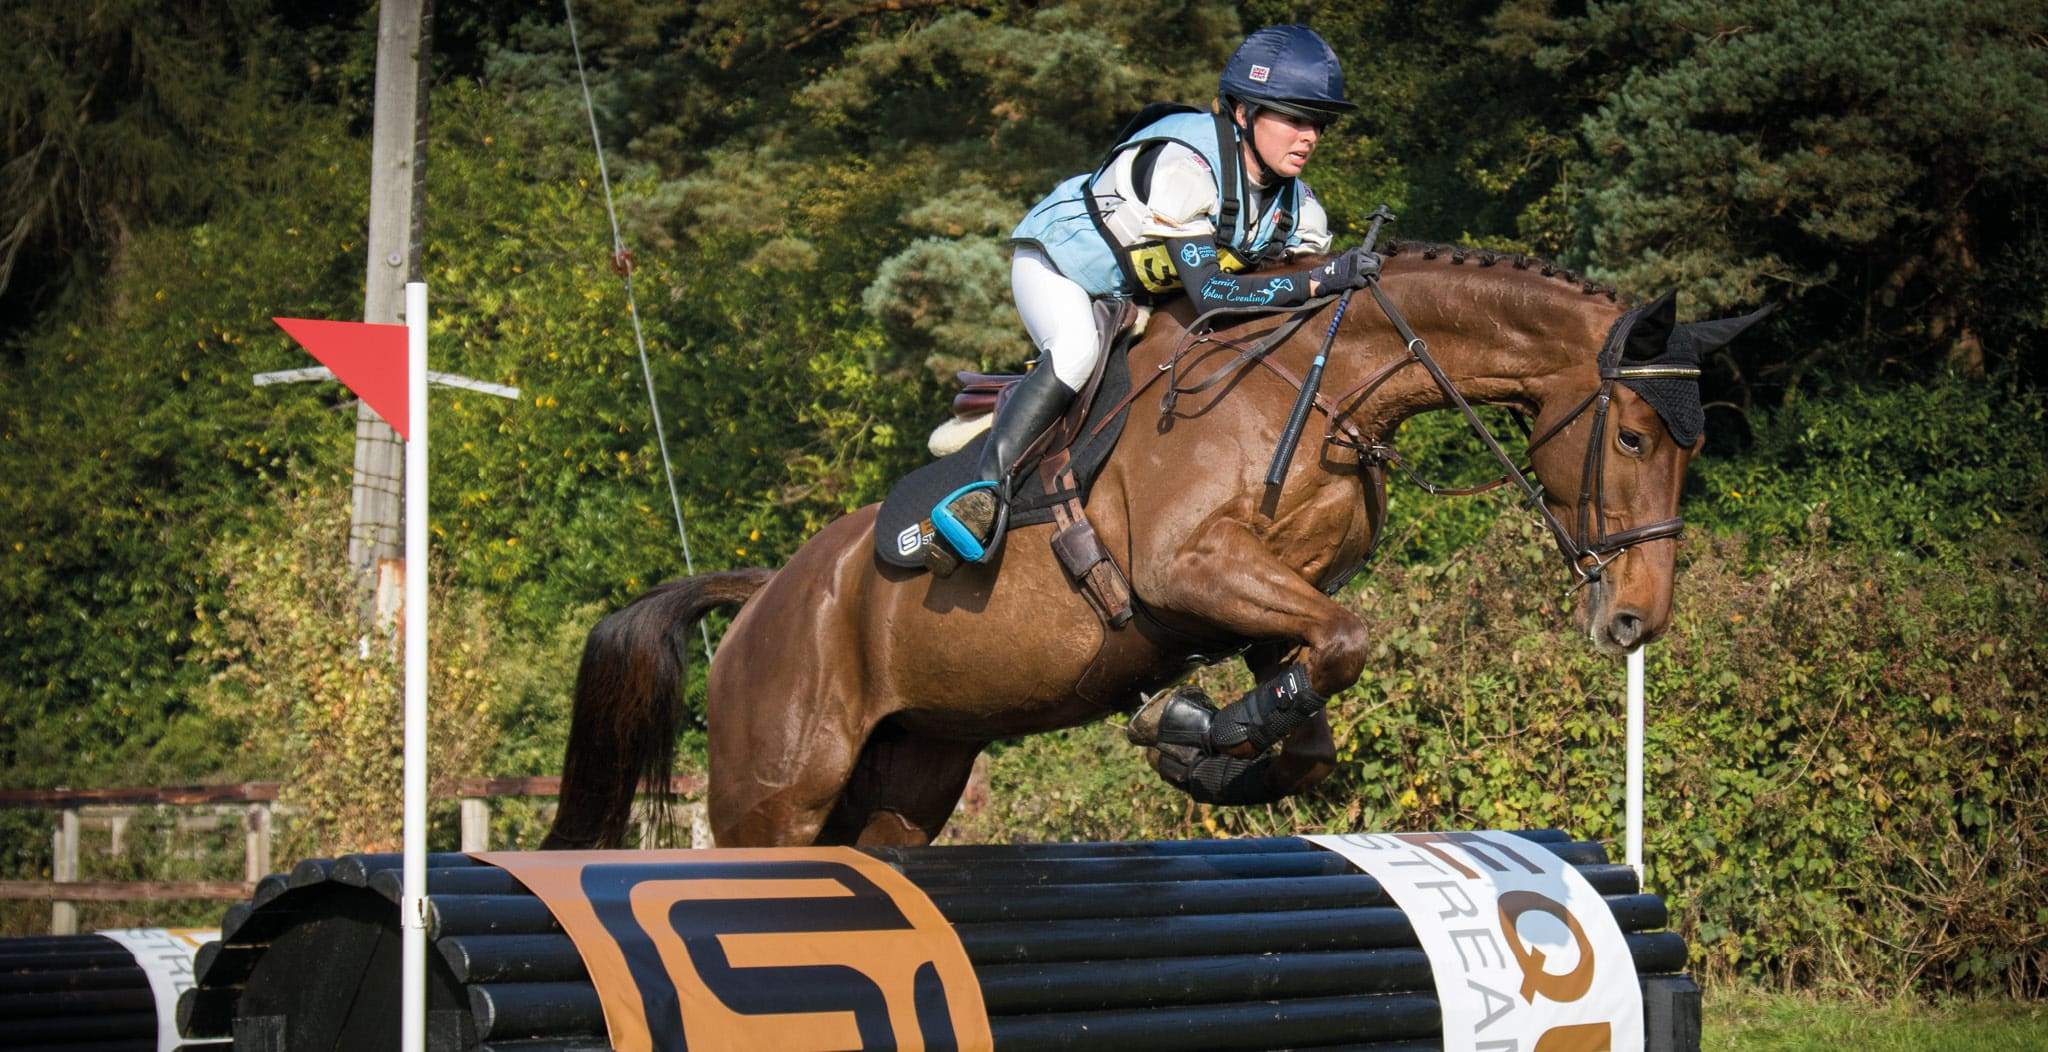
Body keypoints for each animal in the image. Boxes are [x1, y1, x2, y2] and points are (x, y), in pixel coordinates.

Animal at [541, 243, 1770, 850]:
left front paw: (1203, 747)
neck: (1319, 382)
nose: (1636, 617)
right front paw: (1184, 727)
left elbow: (1316, 691)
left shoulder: (1264, 598)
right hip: (776, 787)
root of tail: (763, 597)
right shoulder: (1191, 569)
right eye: (1630, 434)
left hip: (910, 775)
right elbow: (1346, 641)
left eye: (1695, 448)